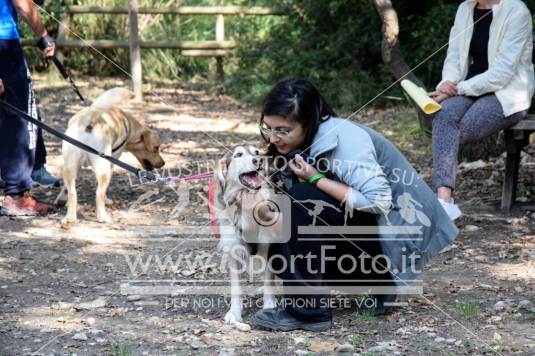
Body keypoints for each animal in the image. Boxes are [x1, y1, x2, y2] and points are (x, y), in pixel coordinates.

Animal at [55, 88, 165, 222]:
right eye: (156, 148)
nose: (163, 163)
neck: (128, 124)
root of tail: (89, 121)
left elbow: (66, 188)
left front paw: (61, 199)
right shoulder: (112, 162)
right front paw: (107, 200)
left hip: (69, 167)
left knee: (73, 193)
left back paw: (70, 217)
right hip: (103, 169)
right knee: (99, 194)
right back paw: (103, 217)